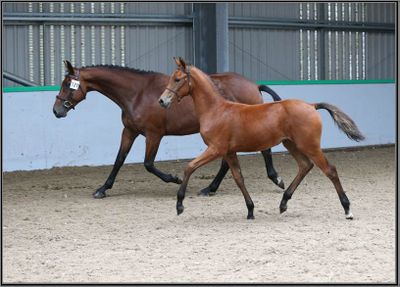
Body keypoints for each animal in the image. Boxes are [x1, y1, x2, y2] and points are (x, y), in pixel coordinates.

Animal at [53, 60, 284, 199]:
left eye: (67, 84)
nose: (56, 111)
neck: (137, 93)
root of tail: (253, 85)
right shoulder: (129, 131)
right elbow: (119, 160)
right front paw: (103, 189)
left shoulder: (154, 135)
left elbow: (148, 164)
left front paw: (175, 179)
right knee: (228, 162)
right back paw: (210, 188)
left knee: (262, 150)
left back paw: (274, 178)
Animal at [158, 57, 364, 222]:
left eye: (177, 79)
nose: (162, 101)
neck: (216, 110)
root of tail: (311, 105)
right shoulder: (230, 152)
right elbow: (239, 178)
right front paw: (250, 210)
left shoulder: (216, 149)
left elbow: (189, 167)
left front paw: (179, 205)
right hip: (291, 143)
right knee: (305, 166)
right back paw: (283, 203)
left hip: (309, 145)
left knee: (330, 170)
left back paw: (347, 210)